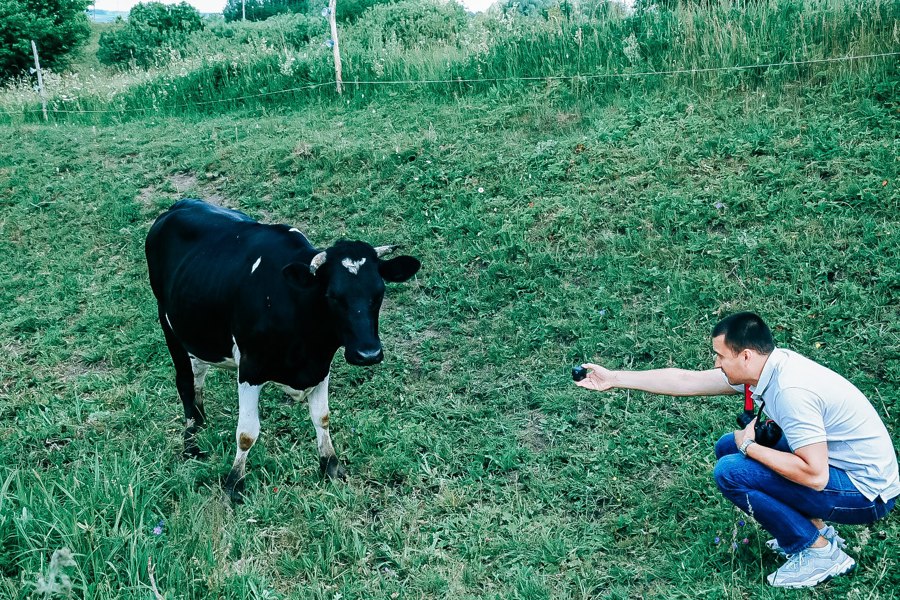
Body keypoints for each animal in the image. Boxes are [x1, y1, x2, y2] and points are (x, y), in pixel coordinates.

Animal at [145, 200, 422, 502]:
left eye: (379, 292)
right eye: (333, 295)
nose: (368, 353)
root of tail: (180, 204)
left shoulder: (320, 364)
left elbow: (322, 417)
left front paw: (331, 466)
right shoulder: (250, 367)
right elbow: (247, 433)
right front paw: (233, 484)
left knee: (199, 374)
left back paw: (200, 421)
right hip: (167, 322)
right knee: (185, 382)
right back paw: (191, 444)